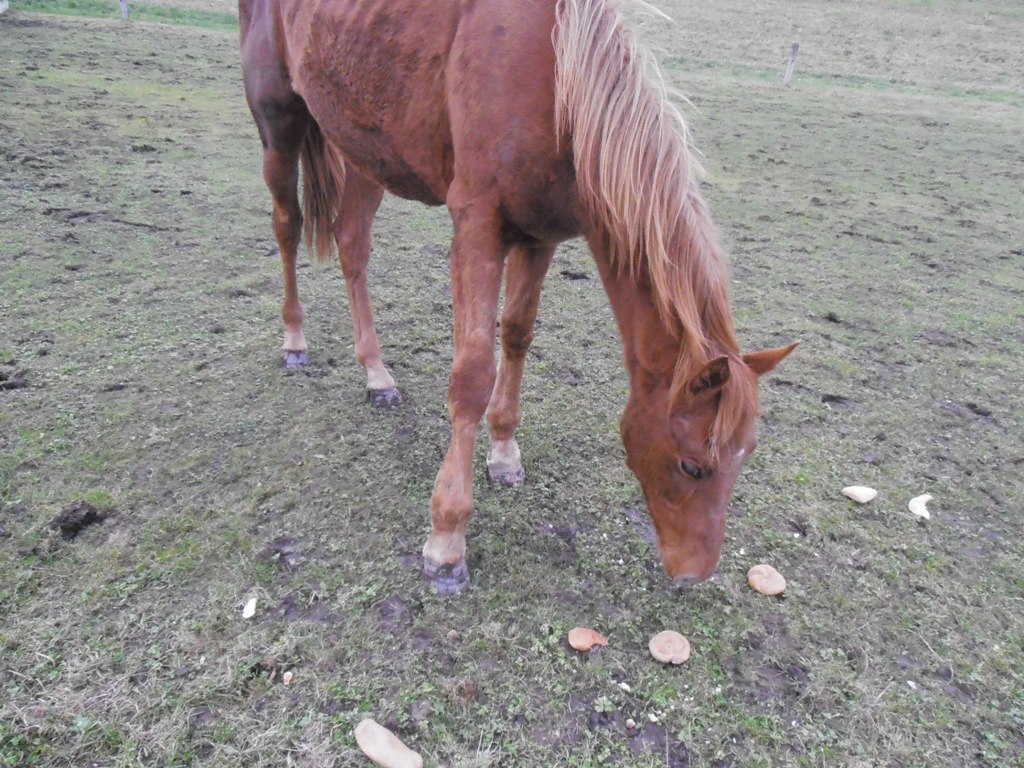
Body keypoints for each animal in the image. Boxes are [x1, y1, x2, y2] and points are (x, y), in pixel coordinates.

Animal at [241, 0, 798, 593]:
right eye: (694, 466)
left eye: (746, 455)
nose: (695, 573)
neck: (554, 84)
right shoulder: (477, 228)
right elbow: (471, 376)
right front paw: (446, 539)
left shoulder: (539, 236)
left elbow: (516, 336)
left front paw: (505, 453)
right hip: (279, 126)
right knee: (287, 226)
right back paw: (294, 341)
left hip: (364, 148)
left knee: (352, 246)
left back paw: (377, 375)